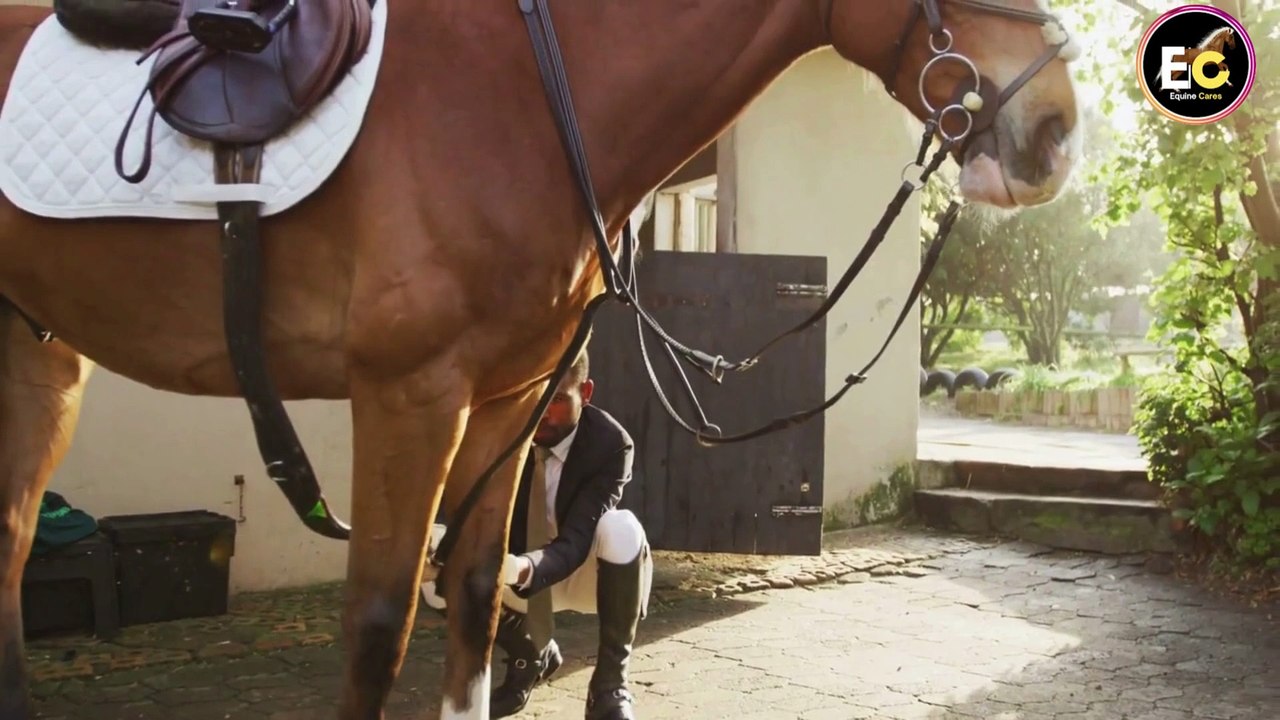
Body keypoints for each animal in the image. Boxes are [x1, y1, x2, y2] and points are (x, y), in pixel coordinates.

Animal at [0, 0, 1083, 718]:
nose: (1057, 132)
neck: (510, 97)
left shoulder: (503, 400)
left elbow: (478, 600)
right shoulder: (408, 397)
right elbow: (380, 622)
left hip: (40, 368)